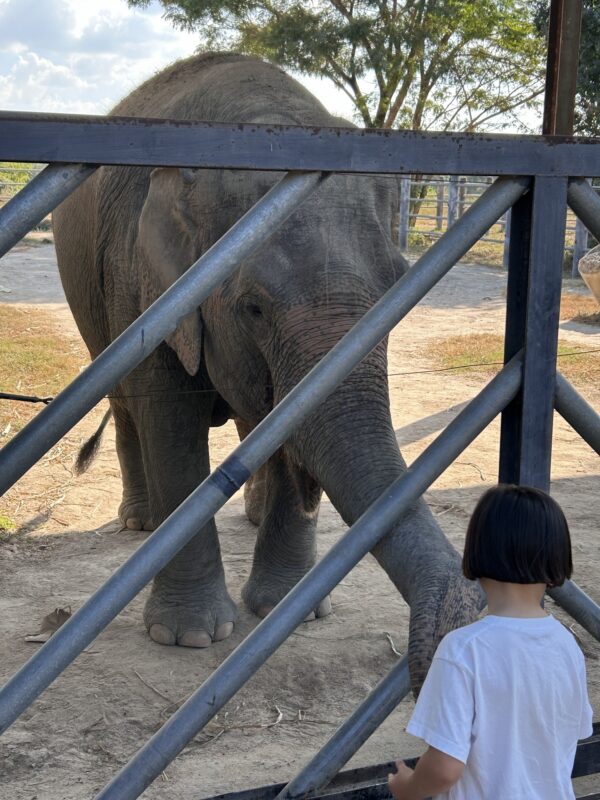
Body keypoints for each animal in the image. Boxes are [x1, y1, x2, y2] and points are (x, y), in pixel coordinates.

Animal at [53, 52, 483, 690]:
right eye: (253, 308)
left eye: (398, 286)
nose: (466, 618)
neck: (263, 119)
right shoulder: (142, 278)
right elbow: (169, 416)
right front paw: (188, 637)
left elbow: (281, 428)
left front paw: (287, 610)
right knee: (126, 403)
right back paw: (143, 524)